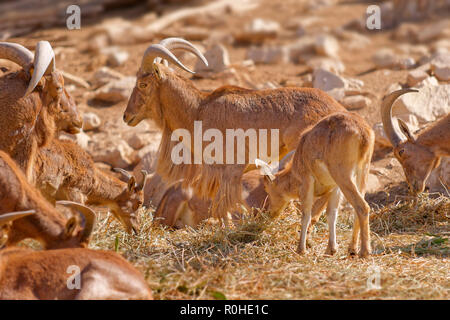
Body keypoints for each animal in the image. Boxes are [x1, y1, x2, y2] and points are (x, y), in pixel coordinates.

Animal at [122, 37, 344, 225]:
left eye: (143, 83)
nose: (126, 116)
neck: (198, 111)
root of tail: (338, 110)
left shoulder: (231, 169)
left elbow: (223, 207)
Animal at [256, 112, 376, 258]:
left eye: (266, 188)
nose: (269, 213)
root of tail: (363, 133)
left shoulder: (307, 182)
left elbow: (306, 214)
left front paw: (300, 249)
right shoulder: (335, 188)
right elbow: (331, 214)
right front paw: (330, 249)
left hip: (343, 175)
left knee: (362, 206)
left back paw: (364, 251)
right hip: (362, 171)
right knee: (357, 207)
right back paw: (352, 248)